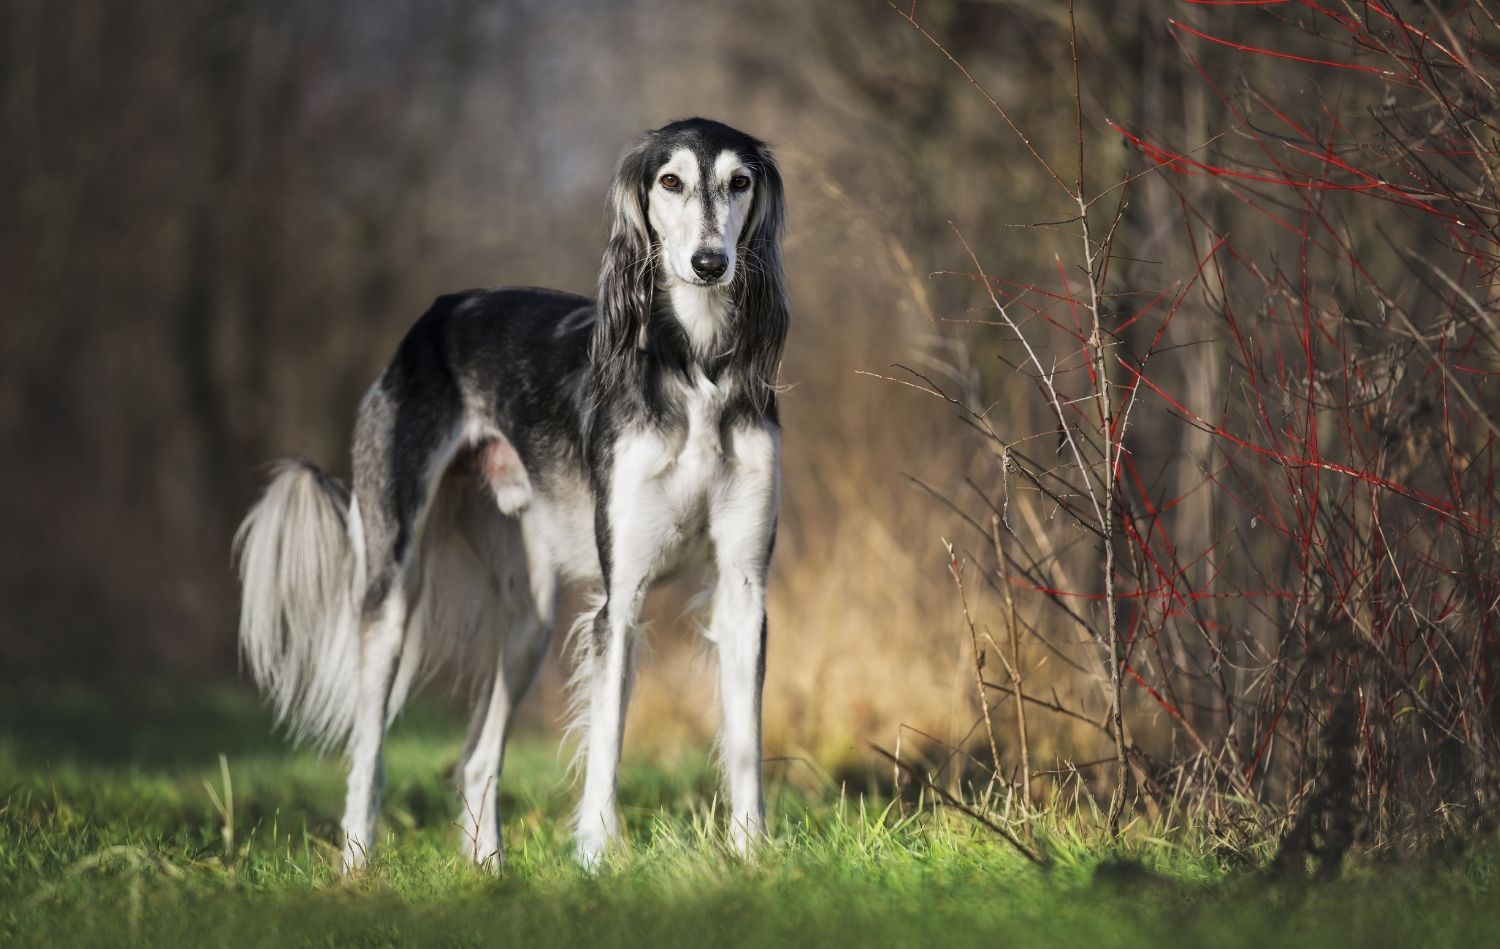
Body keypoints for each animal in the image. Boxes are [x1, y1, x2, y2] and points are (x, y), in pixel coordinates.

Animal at [234, 119, 786, 875]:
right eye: (670, 181)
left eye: (740, 181)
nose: (709, 262)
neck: (695, 368)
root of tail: (435, 315)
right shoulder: (623, 593)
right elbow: (606, 739)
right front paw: (596, 858)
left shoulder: (742, 586)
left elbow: (746, 740)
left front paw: (751, 855)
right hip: (392, 583)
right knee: (367, 753)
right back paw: (356, 863)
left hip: (530, 616)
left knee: (475, 759)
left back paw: (488, 870)